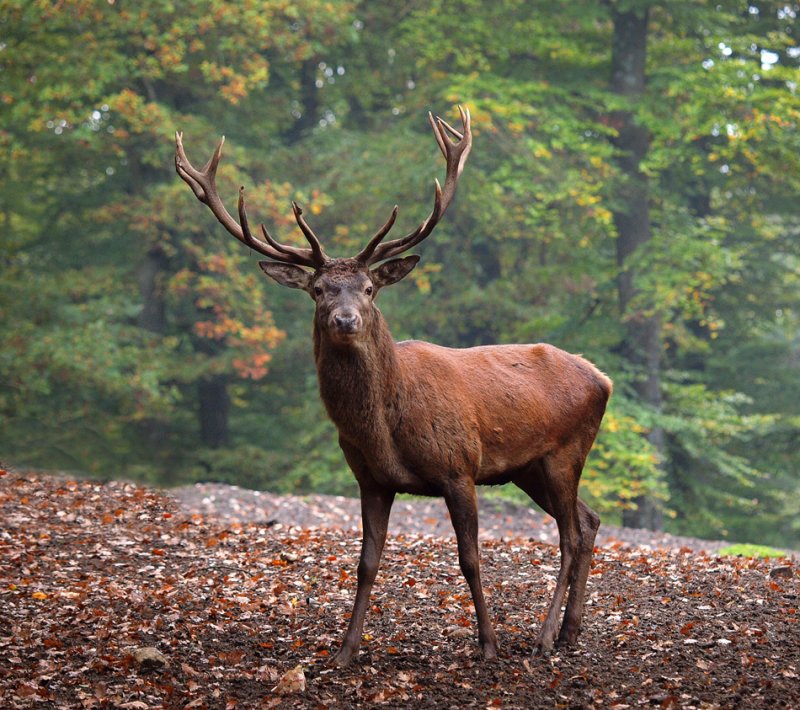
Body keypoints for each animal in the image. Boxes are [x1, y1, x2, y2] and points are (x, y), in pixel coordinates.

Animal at [177, 107, 612, 668]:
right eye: (318, 289)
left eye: (369, 288)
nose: (344, 320)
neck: (385, 426)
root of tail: (602, 378)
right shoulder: (371, 478)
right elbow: (366, 561)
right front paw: (345, 650)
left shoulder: (458, 467)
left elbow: (470, 558)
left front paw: (488, 645)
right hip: (528, 467)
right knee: (589, 520)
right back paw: (569, 632)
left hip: (565, 450)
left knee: (569, 534)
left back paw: (542, 637)